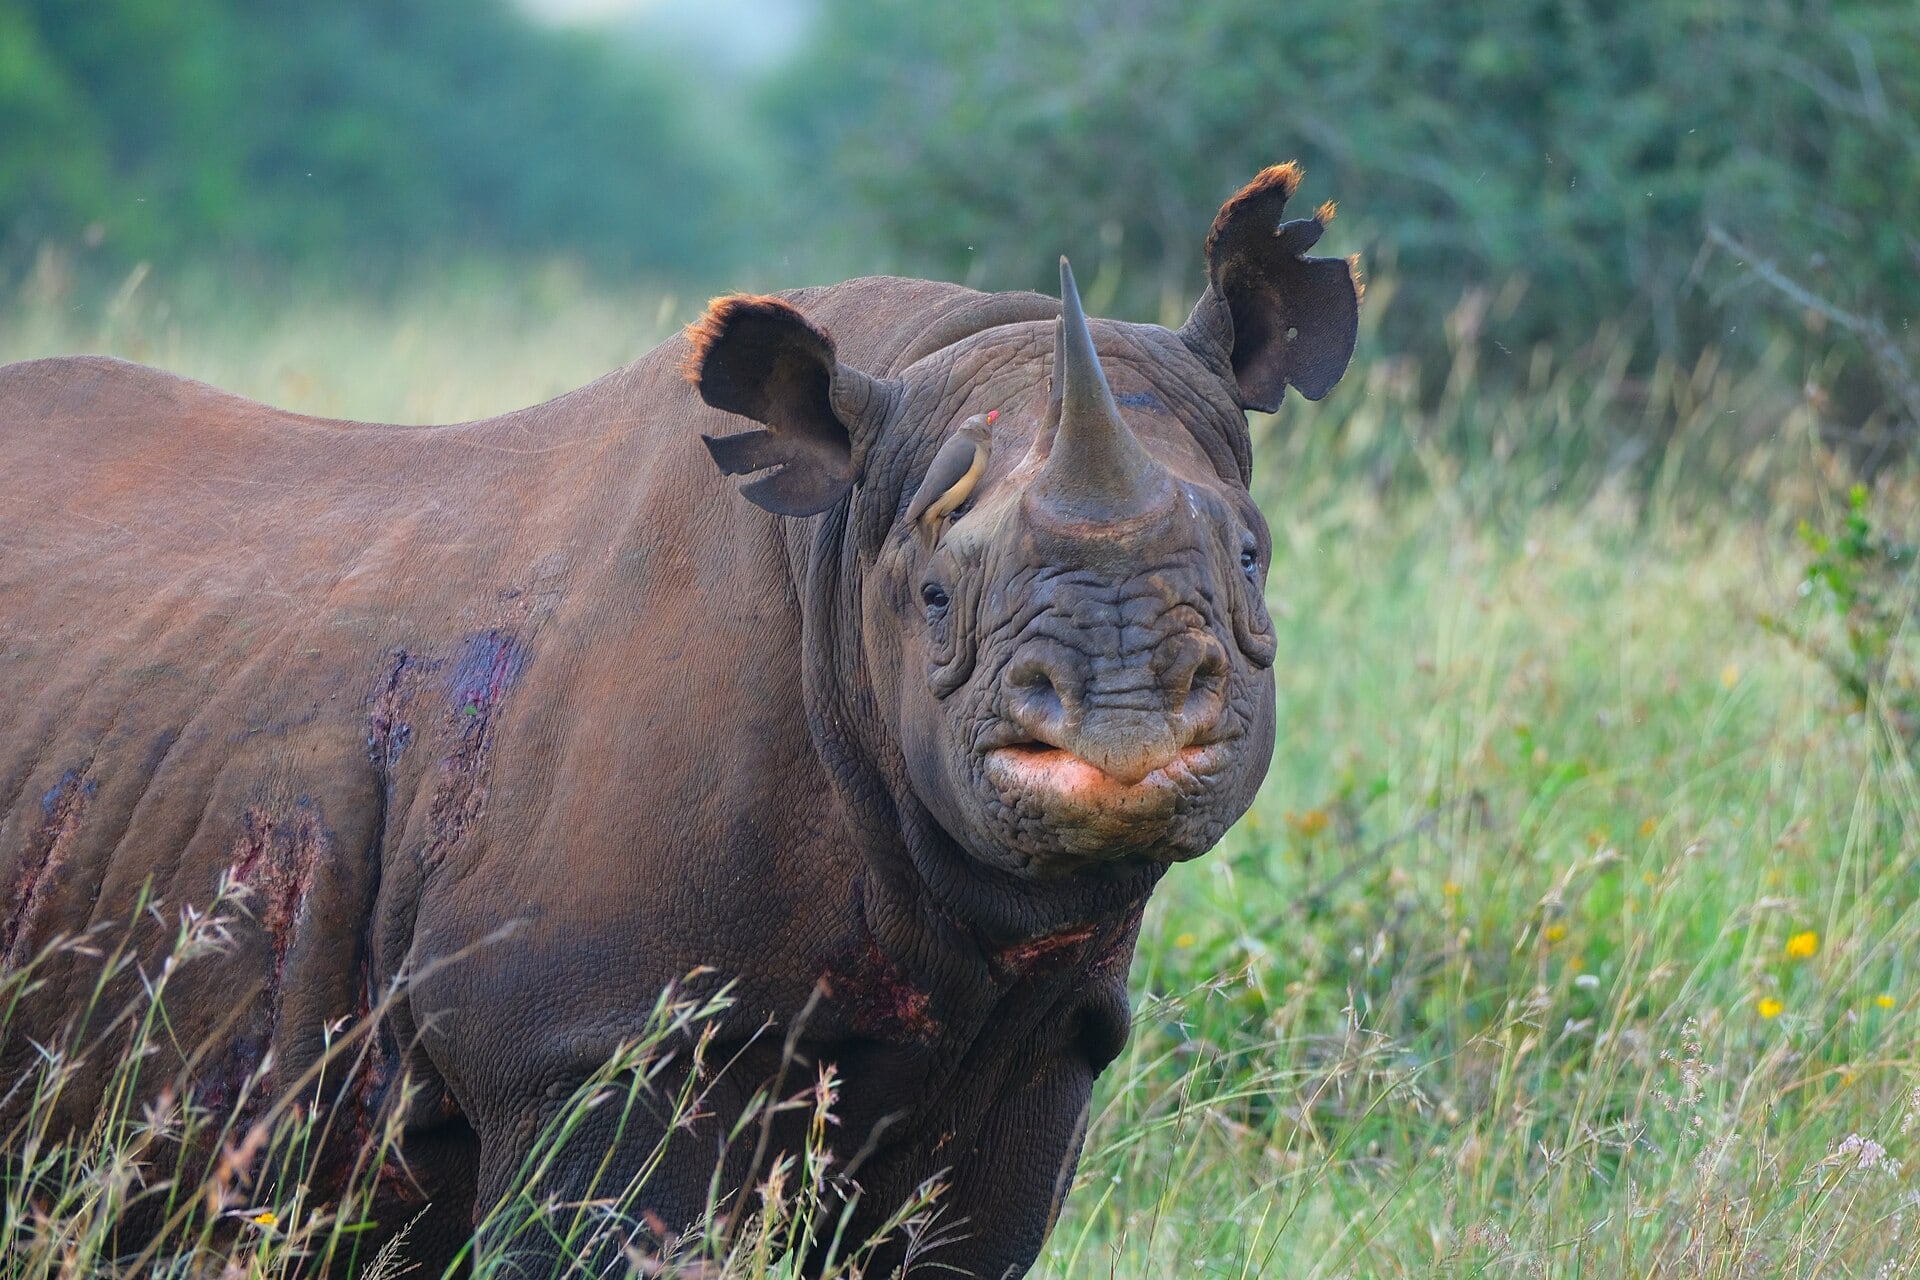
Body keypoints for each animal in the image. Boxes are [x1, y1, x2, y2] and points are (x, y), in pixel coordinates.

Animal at [0, 164, 1357, 1277]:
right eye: (934, 599)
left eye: (1251, 558)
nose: (1122, 715)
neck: (843, 538)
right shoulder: (591, 1039)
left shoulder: (1041, 1048)